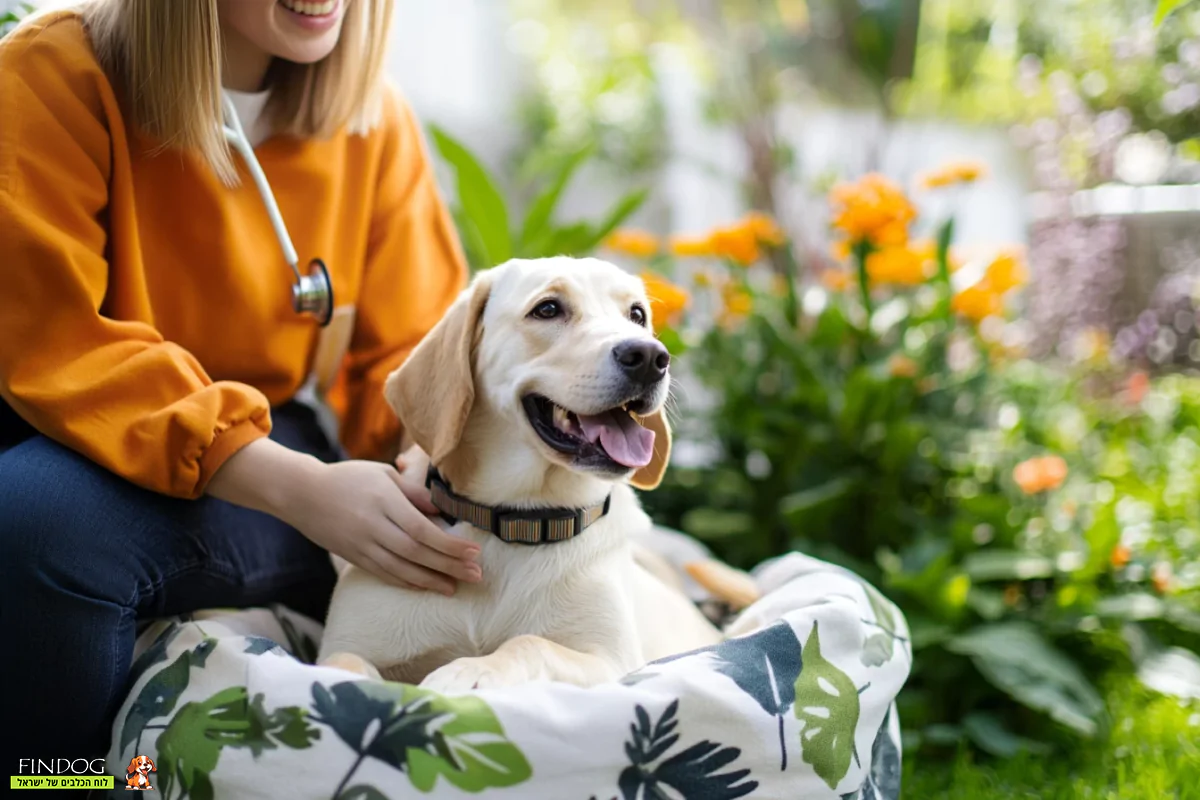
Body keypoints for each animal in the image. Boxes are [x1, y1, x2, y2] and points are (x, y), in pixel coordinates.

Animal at [316, 255, 720, 690]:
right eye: (548, 309)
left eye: (637, 315)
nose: (650, 357)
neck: (515, 521)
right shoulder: (347, 645)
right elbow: (341, 663)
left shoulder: (612, 662)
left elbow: (529, 643)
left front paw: (471, 669)